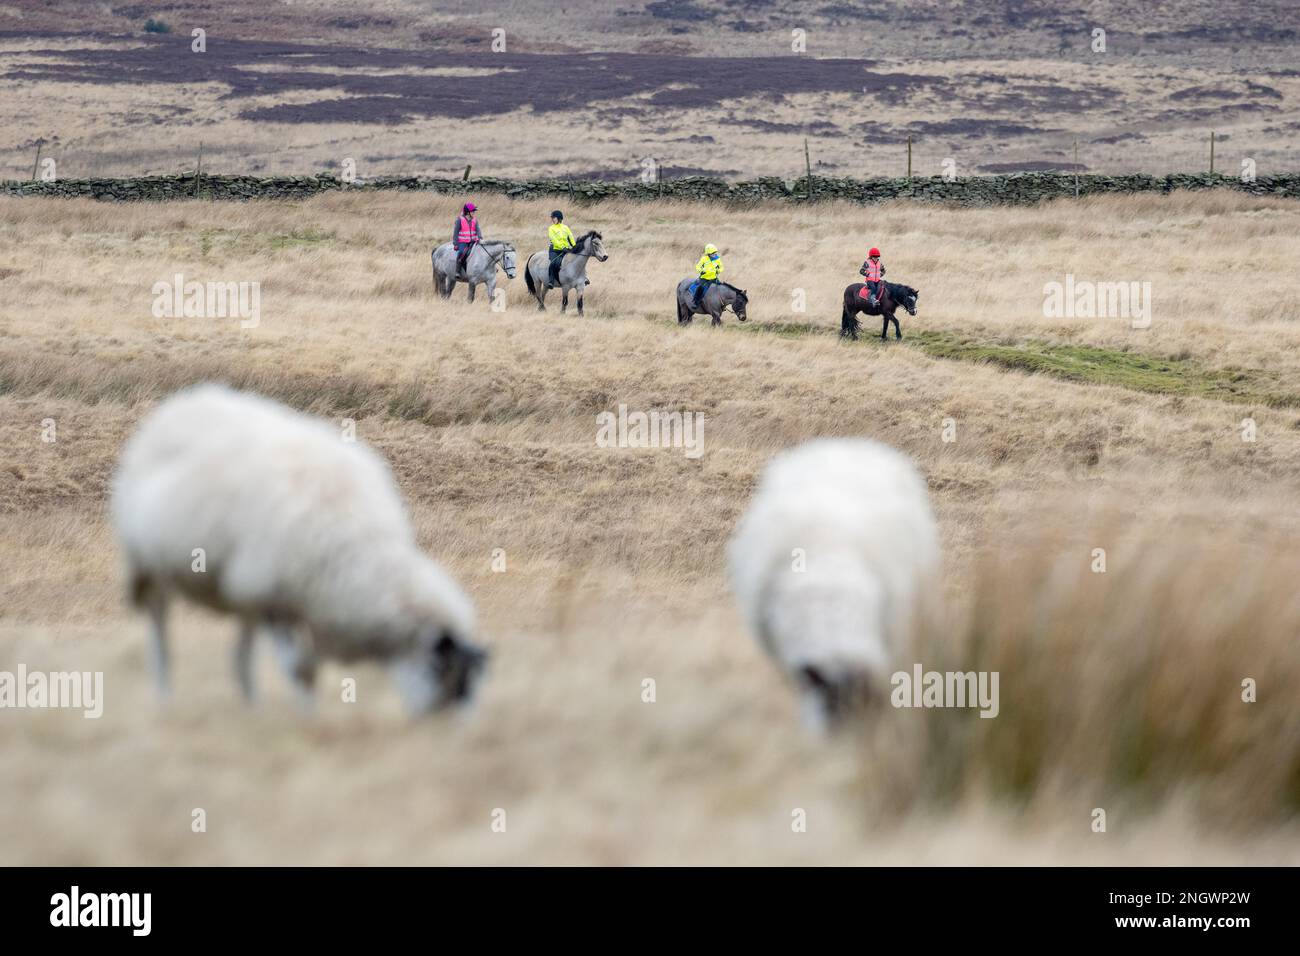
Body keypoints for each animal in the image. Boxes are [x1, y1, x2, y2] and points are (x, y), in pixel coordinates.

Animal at [110, 385, 488, 712]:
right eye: (445, 674)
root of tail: (187, 399)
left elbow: (303, 665)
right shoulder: (274, 600)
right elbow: (300, 669)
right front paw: (310, 720)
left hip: (239, 588)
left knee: (239, 653)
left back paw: (251, 706)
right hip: (149, 566)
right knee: (159, 629)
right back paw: (163, 694)